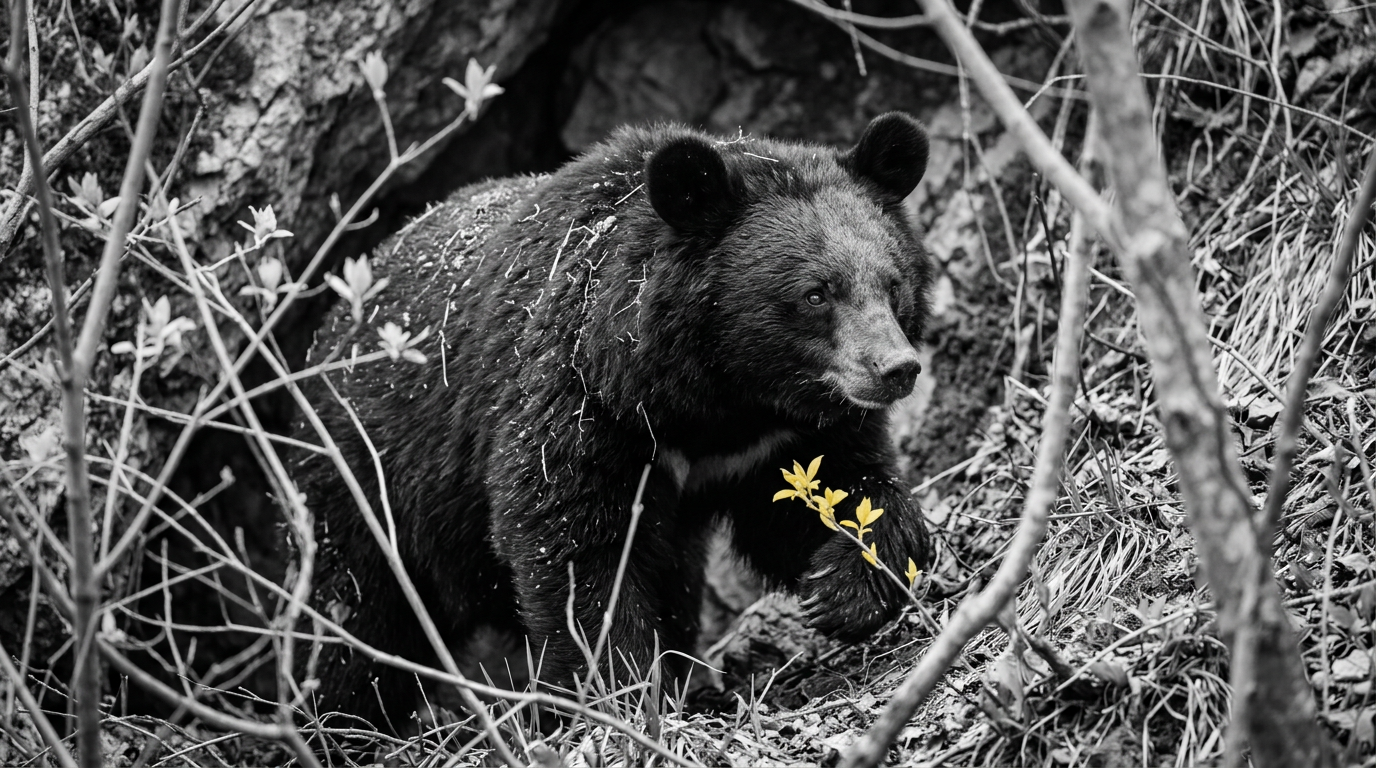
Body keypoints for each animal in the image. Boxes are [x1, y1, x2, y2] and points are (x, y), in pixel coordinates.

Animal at [294, 112, 936, 729]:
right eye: (815, 294)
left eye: (893, 283)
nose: (895, 369)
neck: (719, 396)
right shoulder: (583, 399)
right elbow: (572, 540)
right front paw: (625, 693)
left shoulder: (783, 435)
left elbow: (829, 490)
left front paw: (844, 588)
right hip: (365, 476)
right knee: (354, 614)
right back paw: (342, 719)